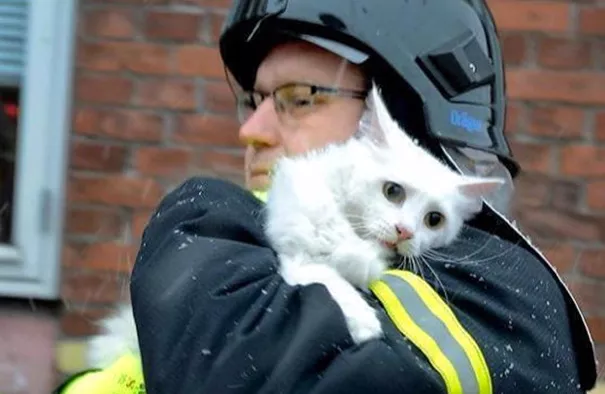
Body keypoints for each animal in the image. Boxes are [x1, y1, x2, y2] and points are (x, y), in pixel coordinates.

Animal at [266, 84, 504, 344]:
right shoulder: (295, 249)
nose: (405, 232)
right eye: (392, 191)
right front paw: (362, 321)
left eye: (434, 220)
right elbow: (326, 276)